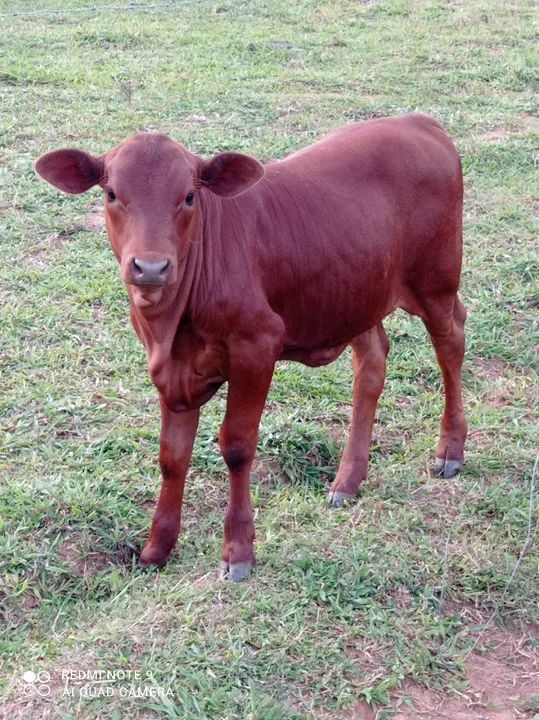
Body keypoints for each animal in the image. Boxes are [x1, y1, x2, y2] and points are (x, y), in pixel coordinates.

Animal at [35, 113, 467, 581]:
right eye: (112, 193)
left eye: (189, 196)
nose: (150, 267)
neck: (171, 327)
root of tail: (417, 121)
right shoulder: (171, 370)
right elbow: (172, 455)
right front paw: (156, 549)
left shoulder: (257, 347)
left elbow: (238, 446)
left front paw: (238, 550)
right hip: (356, 294)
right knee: (372, 362)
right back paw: (347, 481)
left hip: (436, 281)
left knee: (451, 342)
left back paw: (450, 451)